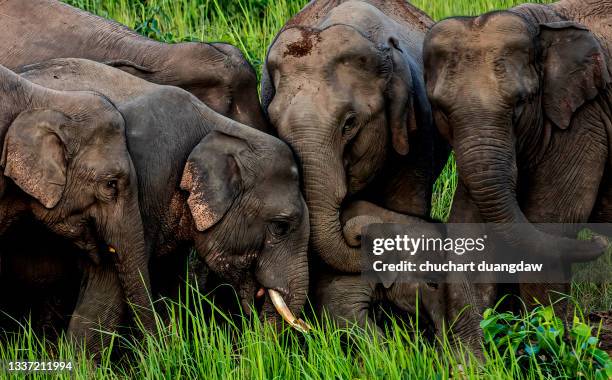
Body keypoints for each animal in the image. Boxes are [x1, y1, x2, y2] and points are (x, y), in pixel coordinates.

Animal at [424, 0, 612, 350]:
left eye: (520, 103)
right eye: (440, 109)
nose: (598, 241)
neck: (536, 24)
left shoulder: (582, 121)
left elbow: (549, 222)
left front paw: (547, 347)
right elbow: (470, 231)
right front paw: (477, 356)